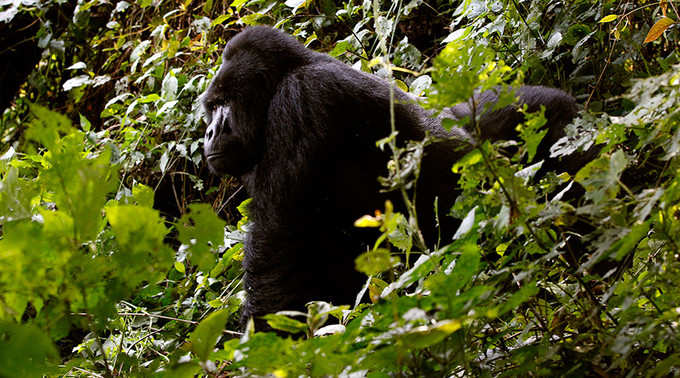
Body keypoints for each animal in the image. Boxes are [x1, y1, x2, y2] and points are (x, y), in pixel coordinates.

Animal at [201, 26, 584, 328]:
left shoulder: (302, 99)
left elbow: (277, 250)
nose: (209, 132)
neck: (289, 71)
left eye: (225, 103)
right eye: (212, 106)